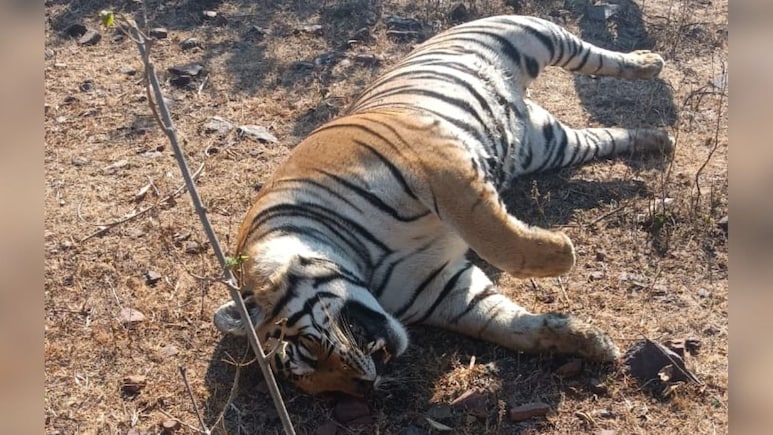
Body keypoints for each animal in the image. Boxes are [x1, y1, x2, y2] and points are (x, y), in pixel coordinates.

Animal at [214, 15, 673, 397]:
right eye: (318, 386)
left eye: (308, 347)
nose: (366, 385)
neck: (365, 267)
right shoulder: (444, 290)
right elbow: (507, 325)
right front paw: (590, 343)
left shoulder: (431, 160)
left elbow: (491, 232)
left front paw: (561, 255)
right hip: (552, 144)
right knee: (606, 136)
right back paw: (658, 140)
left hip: (531, 35)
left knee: (592, 56)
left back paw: (648, 62)